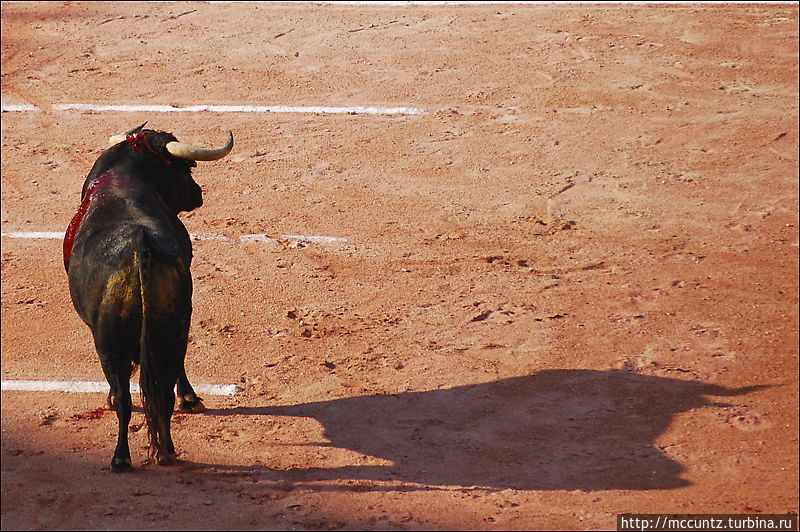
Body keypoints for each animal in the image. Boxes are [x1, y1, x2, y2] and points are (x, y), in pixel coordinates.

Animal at [63, 124, 233, 470]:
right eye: (186, 169)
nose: (198, 194)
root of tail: (141, 246)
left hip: (109, 345)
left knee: (128, 396)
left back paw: (122, 455)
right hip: (173, 330)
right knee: (161, 390)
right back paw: (165, 450)